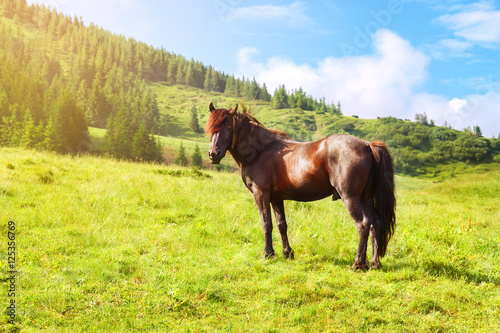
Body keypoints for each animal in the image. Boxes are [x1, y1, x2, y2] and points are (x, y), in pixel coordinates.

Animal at [204, 102, 394, 268]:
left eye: (228, 128)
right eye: (211, 129)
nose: (213, 154)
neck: (260, 151)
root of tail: (367, 145)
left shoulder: (261, 194)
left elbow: (266, 224)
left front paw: (268, 254)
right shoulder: (276, 198)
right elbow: (281, 225)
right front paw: (287, 253)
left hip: (351, 198)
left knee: (363, 224)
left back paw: (358, 263)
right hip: (366, 198)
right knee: (375, 224)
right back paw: (374, 263)